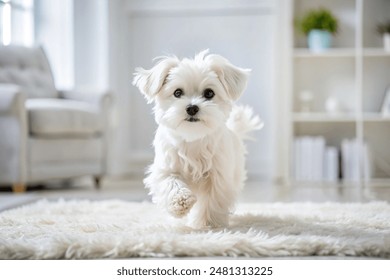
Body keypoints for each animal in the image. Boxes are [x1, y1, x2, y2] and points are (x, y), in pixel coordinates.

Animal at [133, 50, 264, 229]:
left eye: (209, 93)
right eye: (177, 93)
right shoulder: (164, 169)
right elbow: (170, 183)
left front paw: (207, 224)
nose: (192, 108)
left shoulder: (218, 176)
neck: (193, 138)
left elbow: (212, 200)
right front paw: (181, 202)